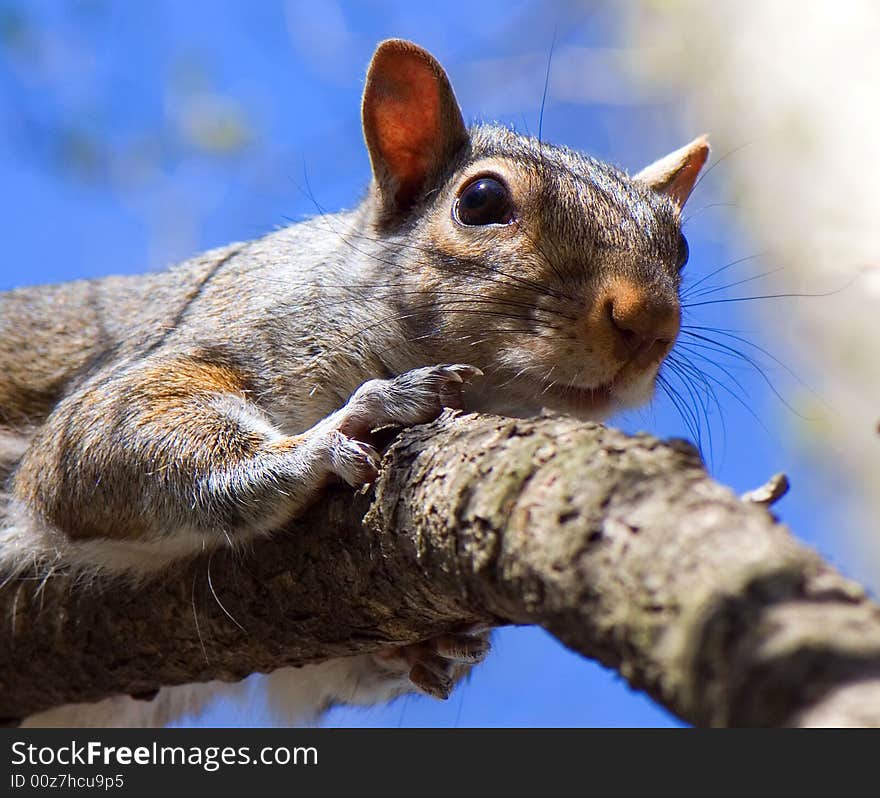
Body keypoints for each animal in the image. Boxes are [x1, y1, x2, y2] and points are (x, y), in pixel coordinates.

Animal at [1, 37, 708, 728]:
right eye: (480, 201)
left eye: (681, 247)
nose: (652, 321)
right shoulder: (190, 342)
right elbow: (92, 443)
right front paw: (337, 430)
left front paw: (422, 647)